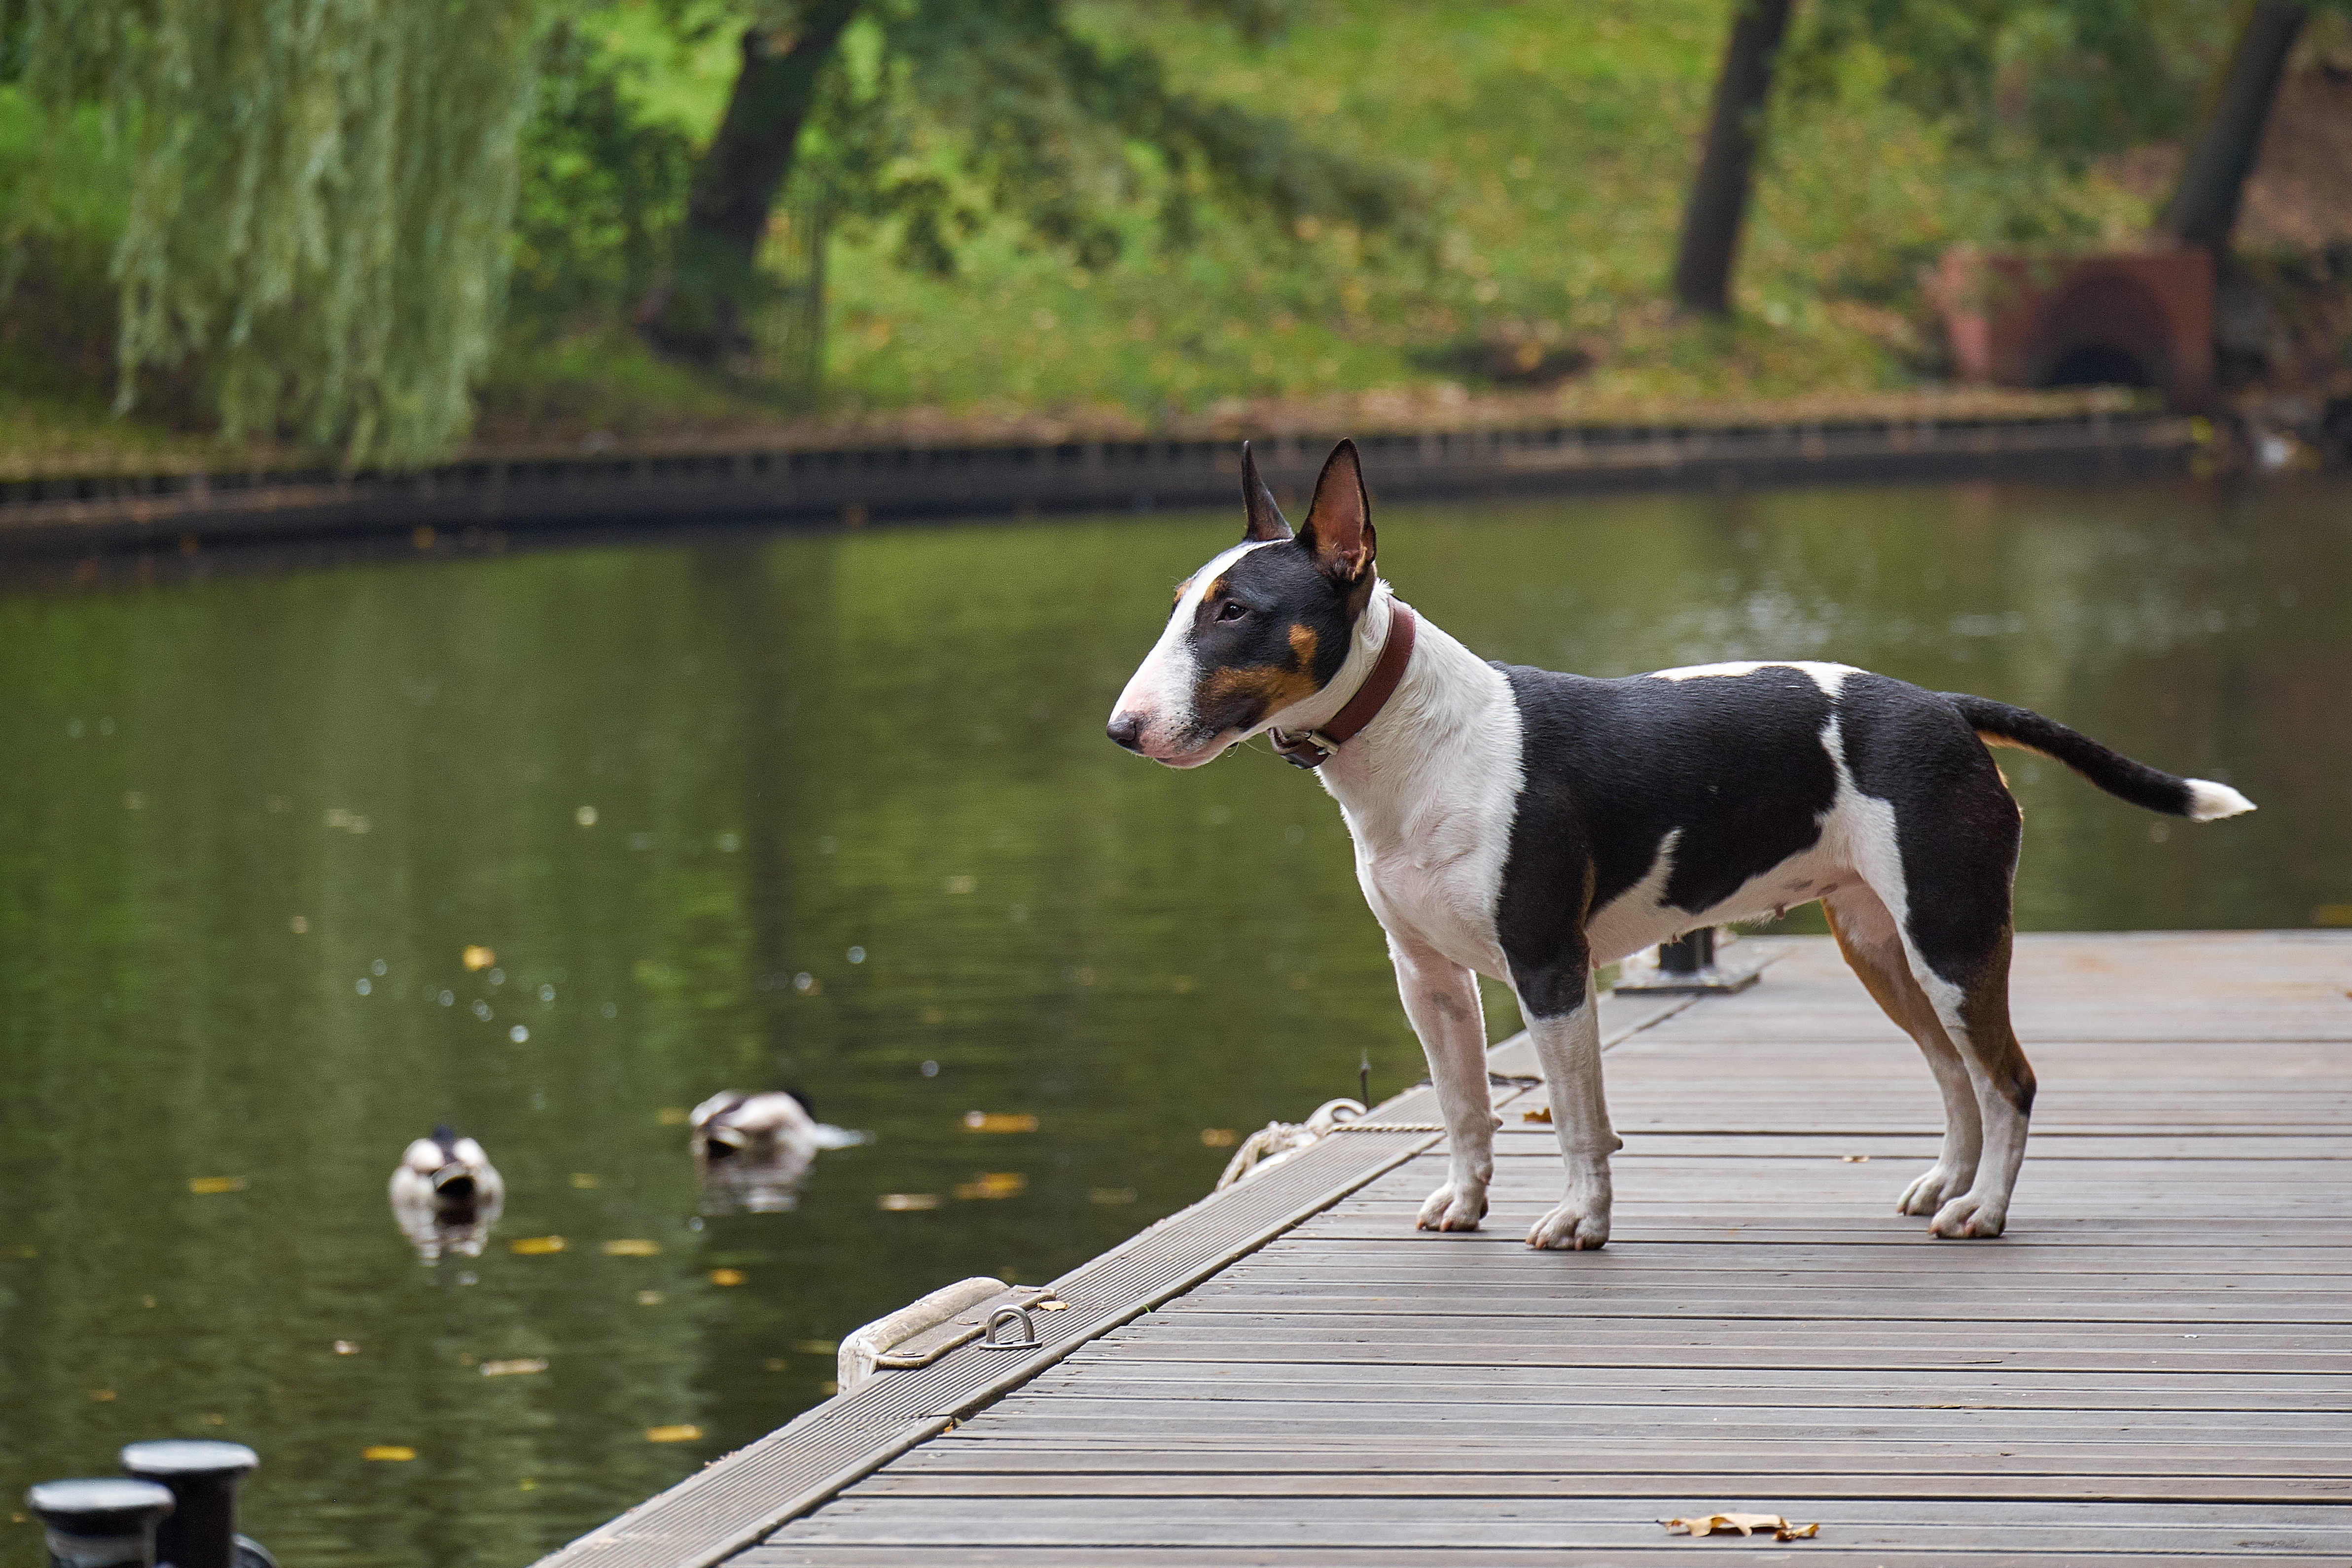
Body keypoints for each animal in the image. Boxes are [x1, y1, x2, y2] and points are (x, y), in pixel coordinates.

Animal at [1110, 442, 2248, 1250]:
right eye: (1177, 608)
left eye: (1237, 612)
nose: (1123, 730)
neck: (1414, 742)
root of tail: (1947, 707)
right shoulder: (1426, 976)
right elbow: (1464, 1105)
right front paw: (1465, 1202)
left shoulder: (1551, 968)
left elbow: (1577, 1119)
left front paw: (1581, 1223)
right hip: (1882, 947)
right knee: (1955, 1074)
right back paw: (1947, 1187)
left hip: (1954, 935)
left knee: (2009, 1079)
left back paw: (1985, 1212)